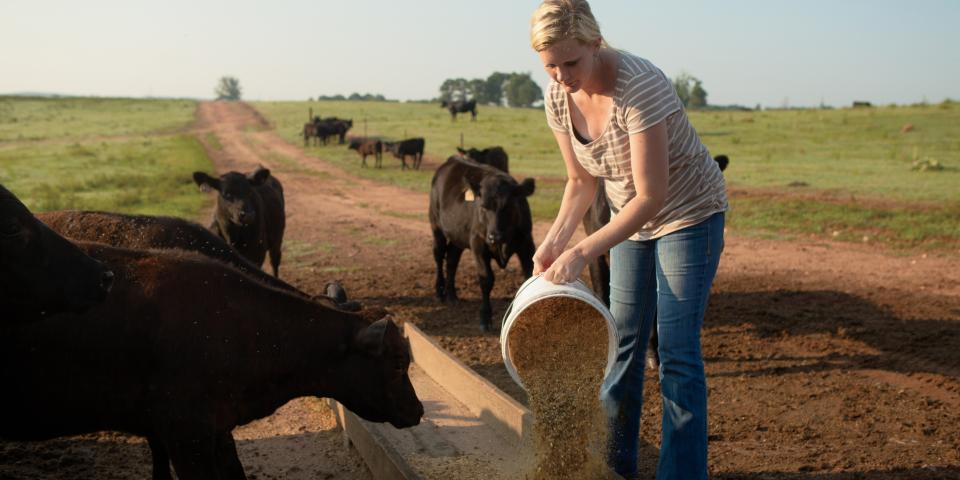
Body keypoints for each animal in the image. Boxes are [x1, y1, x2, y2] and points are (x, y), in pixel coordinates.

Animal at [430, 156, 536, 332]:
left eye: (508, 207)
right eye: (483, 207)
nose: (494, 236)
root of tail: (452, 160)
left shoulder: (527, 245)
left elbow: (528, 275)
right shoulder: (478, 246)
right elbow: (486, 280)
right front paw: (485, 317)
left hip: (458, 236)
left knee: (452, 261)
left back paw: (452, 295)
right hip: (436, 226)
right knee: (438, 256)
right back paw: (439, 292)